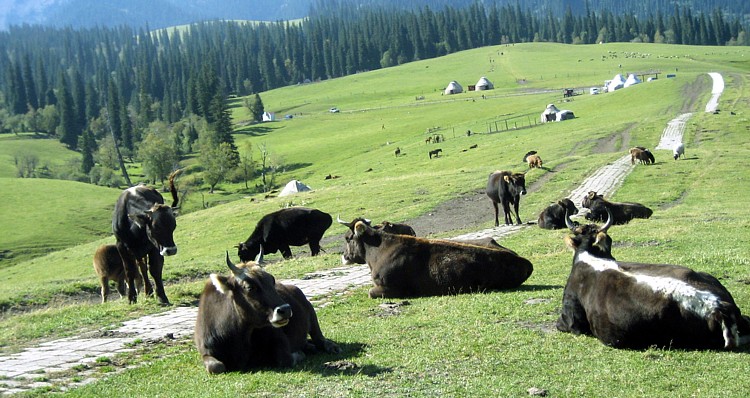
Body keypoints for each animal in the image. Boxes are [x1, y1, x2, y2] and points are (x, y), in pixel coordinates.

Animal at [111, 169, 181, 304]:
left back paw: (149, 291)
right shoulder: (121, 246)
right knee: (141, 267)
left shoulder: (154, 247)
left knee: (145, 268)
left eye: (173, 226)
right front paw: (131, 298)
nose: (171, 250)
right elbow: (130, 271)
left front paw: (162, 296)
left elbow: (155, 268)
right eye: (156, 227)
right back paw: (147, 292)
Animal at [197, 252, 344, 374]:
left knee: (319, 338)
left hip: (312, 314)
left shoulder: (280, 339)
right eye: (249, 287)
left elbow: (285, 359)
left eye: (272, 279)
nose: (286, 309)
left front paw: (300, 354)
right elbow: (216, 367)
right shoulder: (206, 351)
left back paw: (329, 347)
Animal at [340, 221, 536, 298]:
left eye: (348, 238)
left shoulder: (390, 288)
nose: (344, 256)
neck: (378, 250)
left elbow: (370, 292)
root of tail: (523, 260)